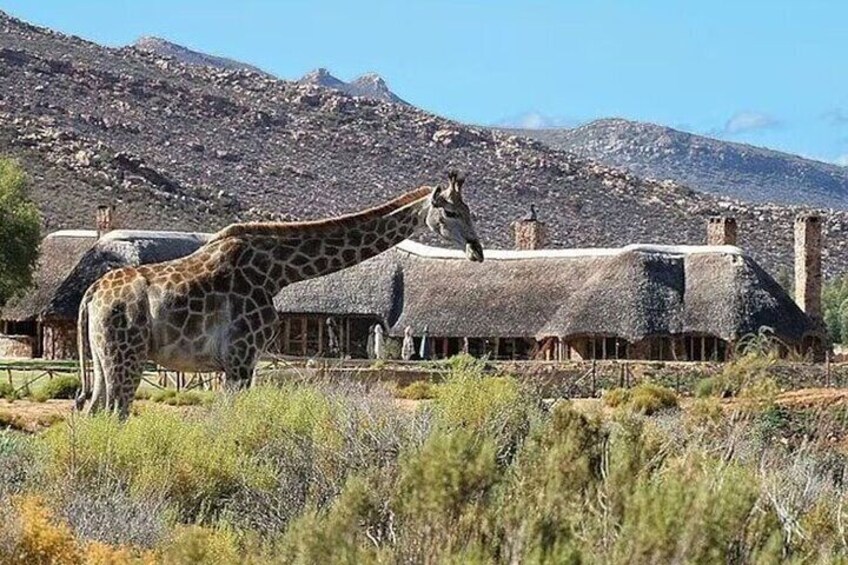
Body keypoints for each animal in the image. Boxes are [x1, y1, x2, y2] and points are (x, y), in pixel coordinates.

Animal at [76, 172, 483, 417]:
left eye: (470, 209)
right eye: (449, 211)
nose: (477, 250)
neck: (279, 273)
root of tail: (90, 295)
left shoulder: (241, 364)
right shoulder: (240, 359)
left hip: (102, 358)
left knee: (92, 410)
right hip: (125, 357)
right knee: (115, 412)